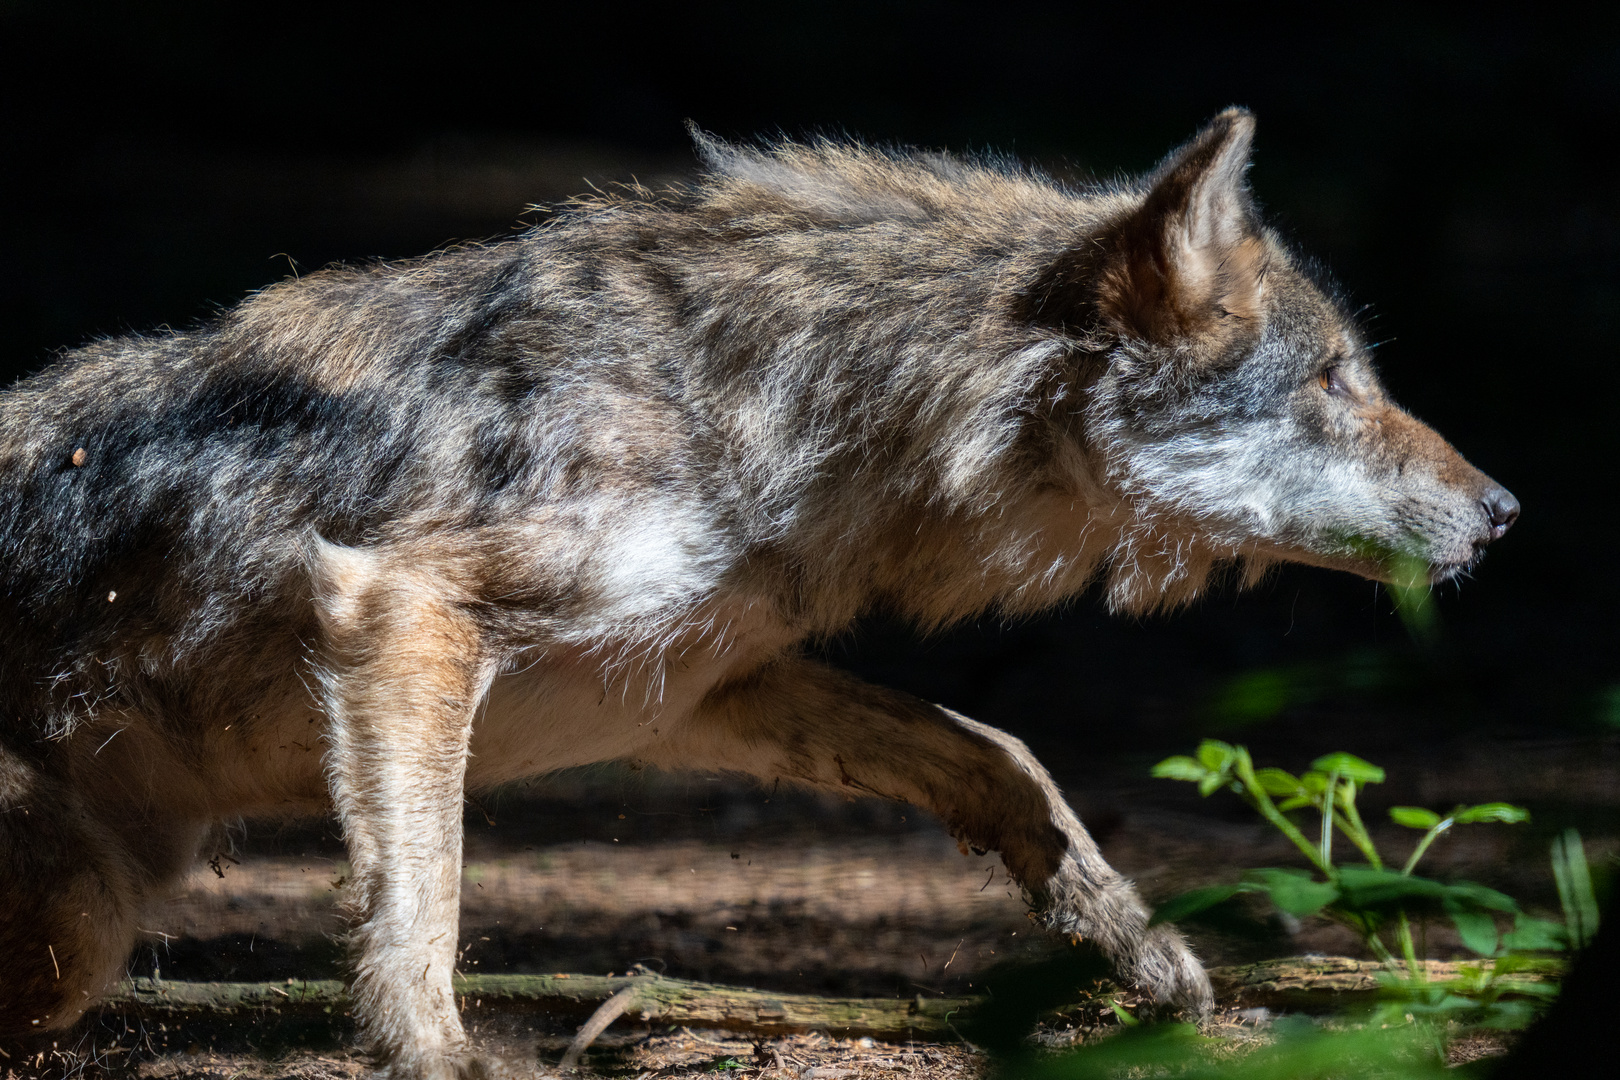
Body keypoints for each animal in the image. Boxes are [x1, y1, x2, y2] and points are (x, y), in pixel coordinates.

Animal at [3, 107, 1516, 1075]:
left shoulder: (687, 690)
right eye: (1335, 381)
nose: (1506, 513)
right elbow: (421, 898)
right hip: (78, 919)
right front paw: (431, 1053)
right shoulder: (399, 609)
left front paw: (1141, 957)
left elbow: (1005, 757)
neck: (792, 408)